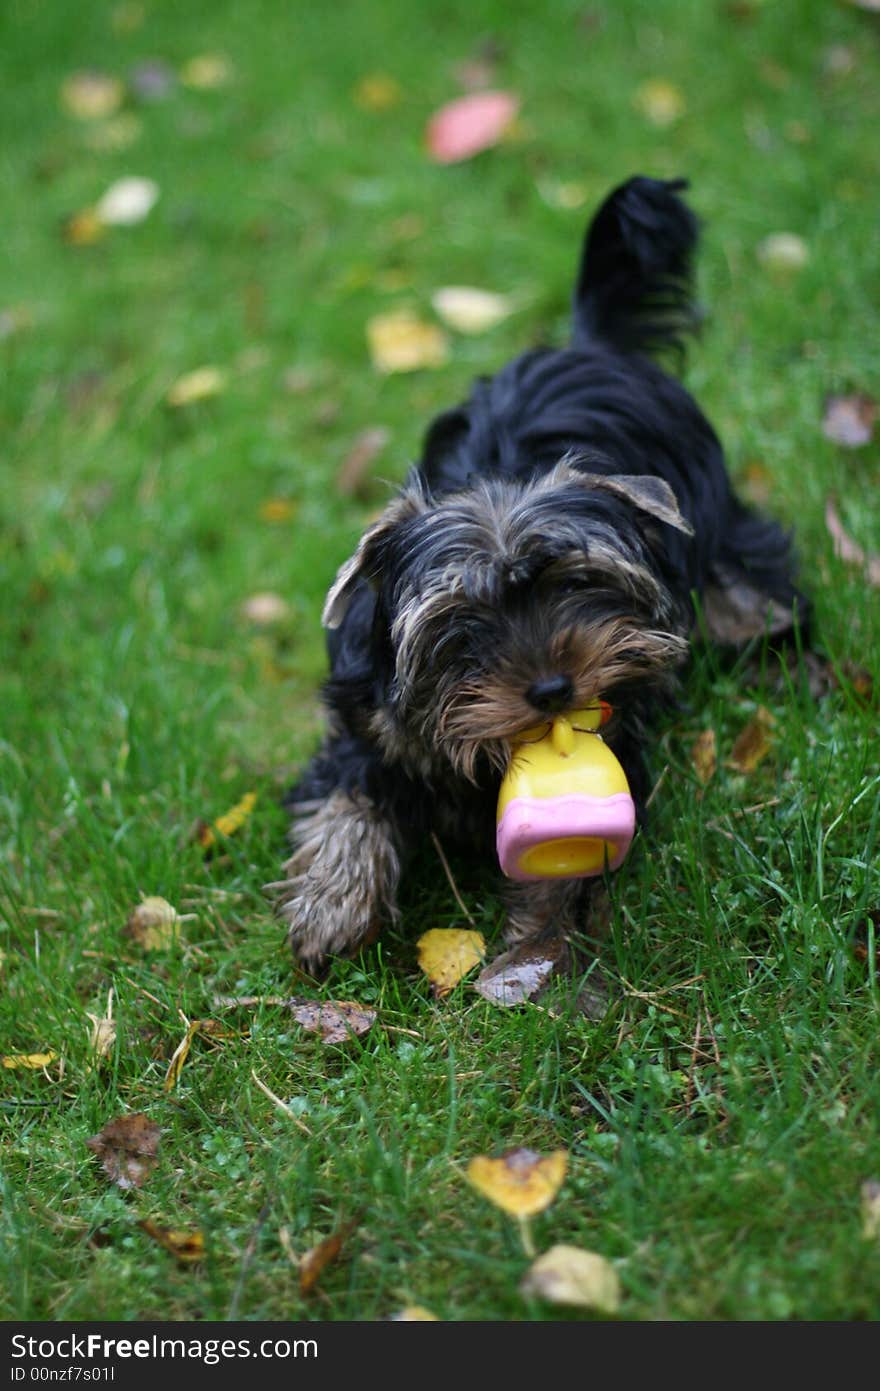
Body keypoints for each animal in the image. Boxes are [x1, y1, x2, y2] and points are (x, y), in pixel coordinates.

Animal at [269, 173, 811, 973]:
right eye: (462, 625)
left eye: (576, 586)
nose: (554, 689)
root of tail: (589, 345)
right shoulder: (366, 720)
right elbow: (348, 796)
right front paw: (332, 904)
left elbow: (569, 868)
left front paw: (537, 950)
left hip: (716, 524)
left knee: (754, 589)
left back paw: (789, 658)